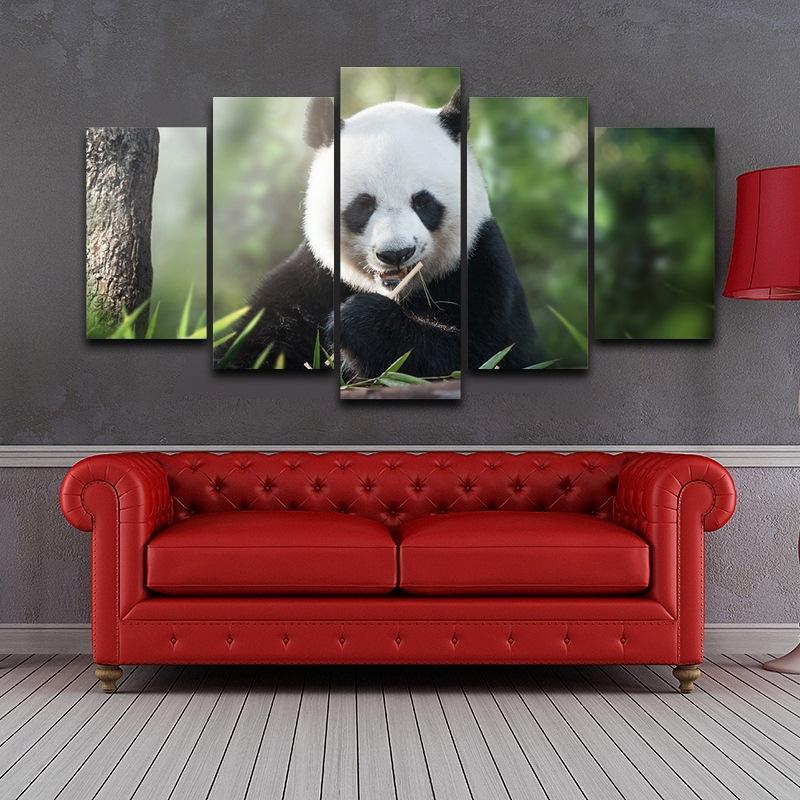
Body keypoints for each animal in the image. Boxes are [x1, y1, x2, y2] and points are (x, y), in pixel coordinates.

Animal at [216, 91, 539, 373]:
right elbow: (254, 344)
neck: (398, 292)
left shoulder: (482, 267)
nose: (396, 253)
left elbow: (486, 353)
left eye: (423, 202)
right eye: (364, 205)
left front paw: (358, 321)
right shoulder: (311, 280)